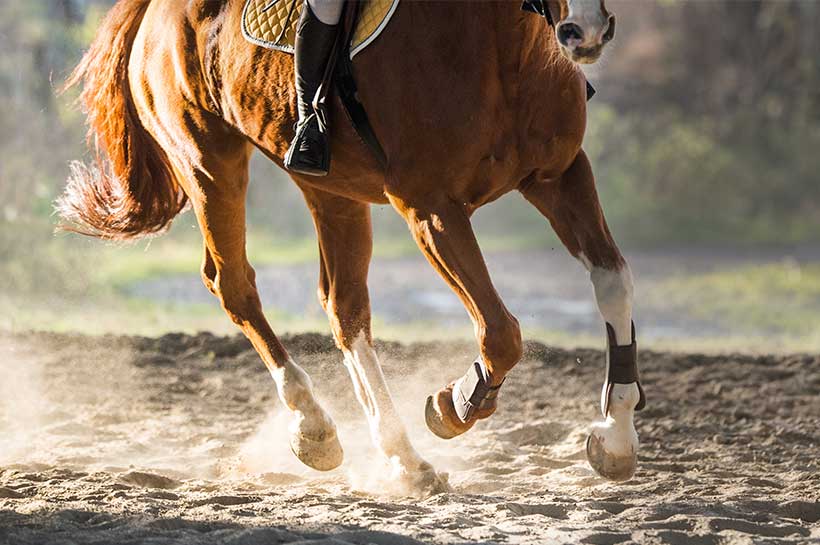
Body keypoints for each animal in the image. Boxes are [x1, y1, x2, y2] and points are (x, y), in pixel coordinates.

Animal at [60, 0, 644, 492]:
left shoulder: (559, 176)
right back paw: (314, 426)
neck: (503, 44)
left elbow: (614, 283)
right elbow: (501, 333)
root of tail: (155, 10)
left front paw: (615, 438)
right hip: (209, 163)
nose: (585, 32)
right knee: (234, 285)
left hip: (329, 189)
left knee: (344, 309)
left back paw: (401, 458)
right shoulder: (430, 209)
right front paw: (454, 404)